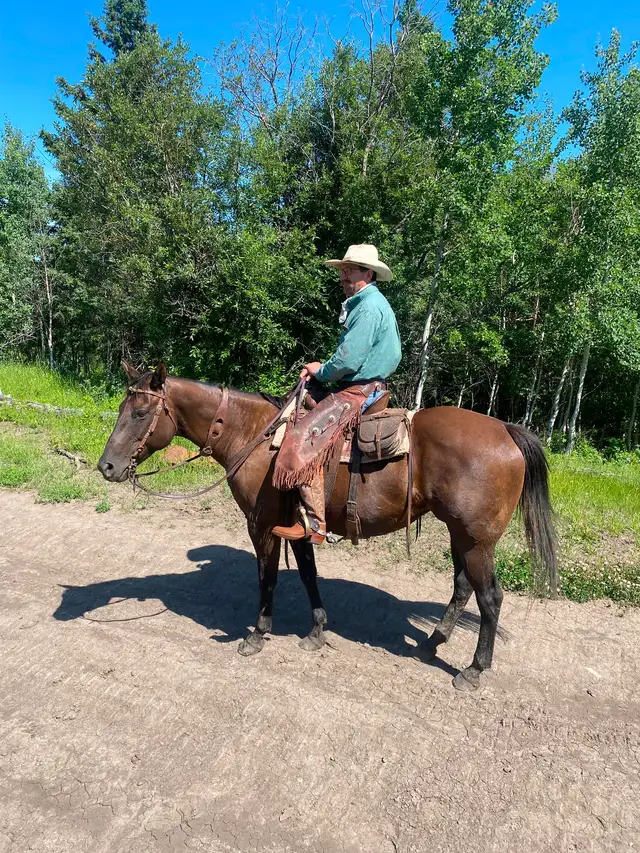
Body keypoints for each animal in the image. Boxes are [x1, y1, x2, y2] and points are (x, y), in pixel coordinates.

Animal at [98, 361, 557, 692]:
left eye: (140, 412)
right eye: (121, 409)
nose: (108, 467)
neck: (255, 436)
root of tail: (507, 432)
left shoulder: (262, 524)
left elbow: (268, 579)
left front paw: (257, 635)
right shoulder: (297, 525)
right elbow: (307, 574)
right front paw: (317, 630)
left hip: (477, 541)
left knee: (490, 598)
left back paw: (473, 670)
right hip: (459, 535)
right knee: (462, 588)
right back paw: (431, 644)